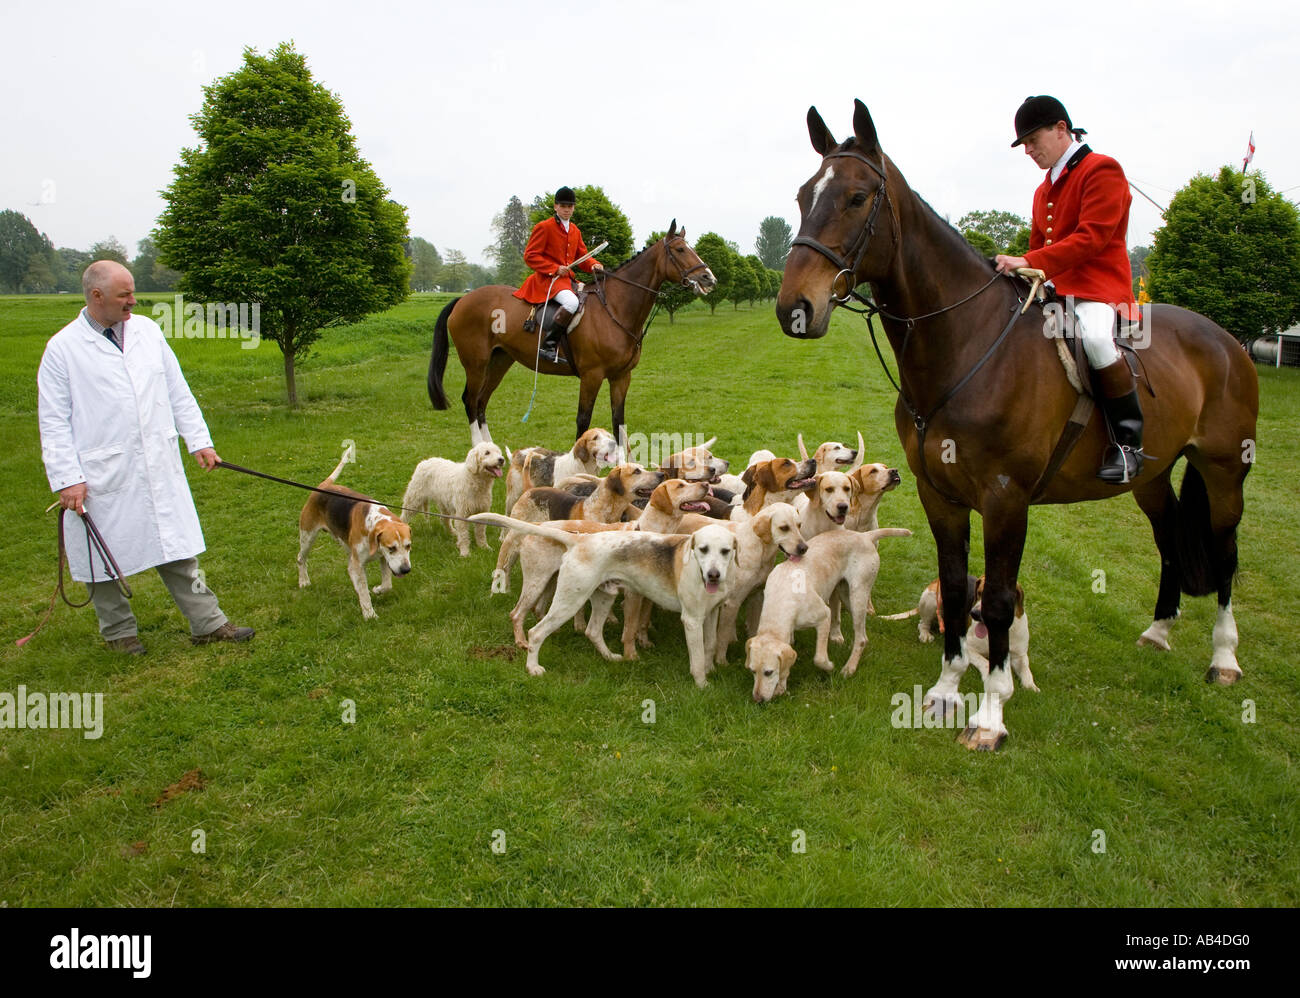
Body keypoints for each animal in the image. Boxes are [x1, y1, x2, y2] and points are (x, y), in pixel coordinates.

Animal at [428, 223, 717, 452]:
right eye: (680, 250)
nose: (709, 278)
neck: (614, 307)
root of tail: (462, 299)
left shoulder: (622, 376)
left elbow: (618, 420)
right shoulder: (592, 376)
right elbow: (583, 420)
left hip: (500, 361)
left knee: (481, 401)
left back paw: (491, 451)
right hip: (475, 363)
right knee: (470, 400)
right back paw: (479, 450)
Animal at [774, 101, 1253, 748]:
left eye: (855, 197)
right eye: (804, 196)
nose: (794, 309)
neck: (966, 345)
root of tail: (1226, 340)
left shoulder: (1006, 500)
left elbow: (997, 601)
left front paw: (990, 714)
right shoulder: (939, 494)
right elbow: (955, 590)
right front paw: (946, 691)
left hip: (1226, 471)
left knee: (1224, 553)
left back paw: (1224, 658)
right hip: (1151, 479)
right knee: (1169, 540)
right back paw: (1157, 632)